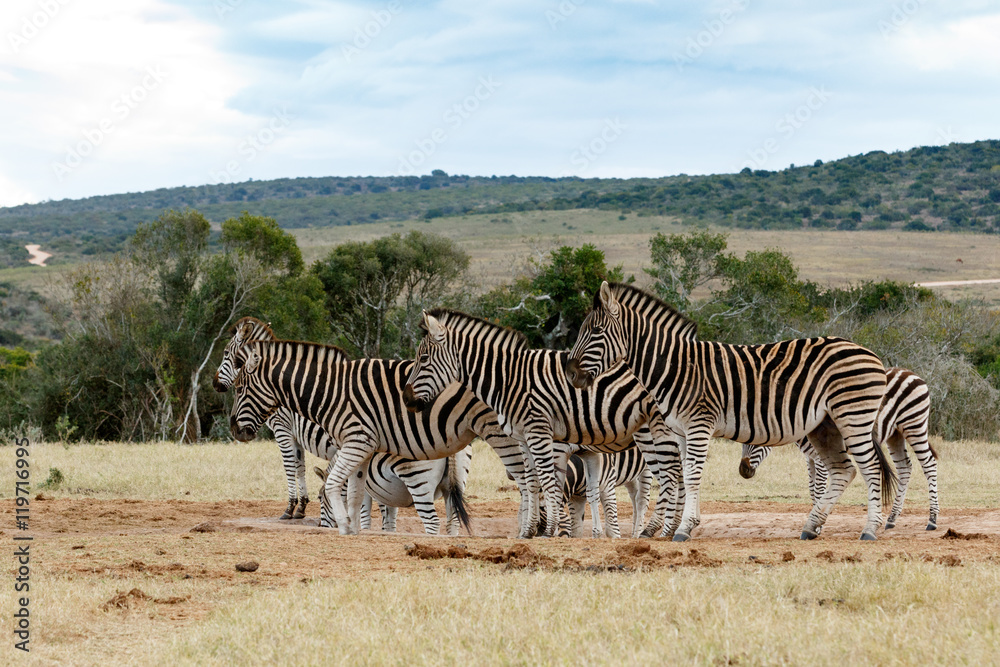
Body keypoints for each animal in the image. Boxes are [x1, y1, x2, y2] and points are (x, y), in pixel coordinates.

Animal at [313, 445, 473, 535]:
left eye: (320, 498)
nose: (323, 527)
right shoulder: (388, 492)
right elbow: (389, 520)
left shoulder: (365, 488)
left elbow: (364, 515)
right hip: (454, 485)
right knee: (453, 521)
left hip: (418, 482)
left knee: (432, 521)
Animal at [402, 308, 683, 538]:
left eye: (423, 359)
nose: (406, 398)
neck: (509, 378)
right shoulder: (524, 437)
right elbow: (532, 482)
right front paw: (529, 531)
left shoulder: (540, 433)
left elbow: (547, 481)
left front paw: (548, 530)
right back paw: (671, 528)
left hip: (654, 432)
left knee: (670, 476)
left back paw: (662, 529)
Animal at [566, 281, 897, 541]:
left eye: (595, 331)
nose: (570, 373)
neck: (675, 366)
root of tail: (870, 353)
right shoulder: (681, 431)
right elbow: (685, 474)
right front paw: (683, 525)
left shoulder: (699, 424)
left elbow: (692, 474)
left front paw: (683, 529)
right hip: (824, 425)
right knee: (844, 469)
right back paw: (811, 526)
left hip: (852, 416)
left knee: (869, 467)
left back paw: (869, 530)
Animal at [739, 367, 937, 530]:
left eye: (757, 442)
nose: (743, 470)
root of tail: (912, 374)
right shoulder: (809, 458)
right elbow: (811, 489)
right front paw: (816, 519)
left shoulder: (820, 457)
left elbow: (818, 489)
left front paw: (818, 524)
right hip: (895, 433)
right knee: (905, 467)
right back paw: (892, 519)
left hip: (914, 425)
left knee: (929, 464)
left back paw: (932, 520)